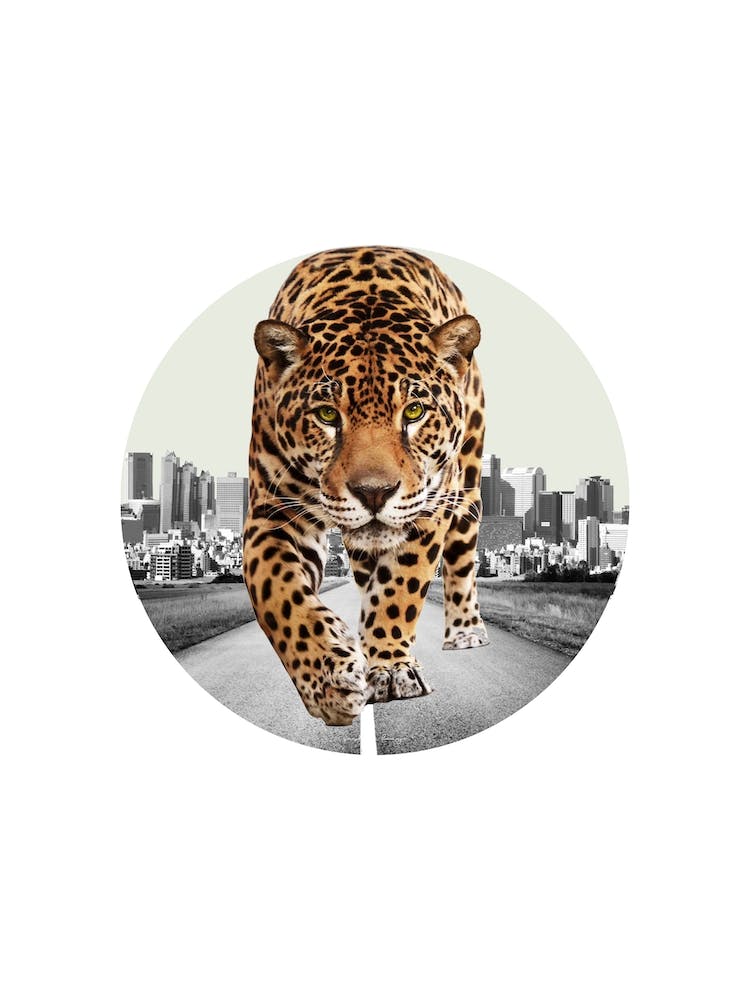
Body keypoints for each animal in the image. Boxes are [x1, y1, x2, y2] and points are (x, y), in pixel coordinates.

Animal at [243, 247, 489, 727]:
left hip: (466, 485)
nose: (375, 492)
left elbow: (400, 587)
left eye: (414, 411)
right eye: (327, 414)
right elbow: (278, 595)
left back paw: (465, 631)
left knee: (462, 557)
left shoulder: (428, 506)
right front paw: (328, 681)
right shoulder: (272, 511)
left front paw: (391, 668)